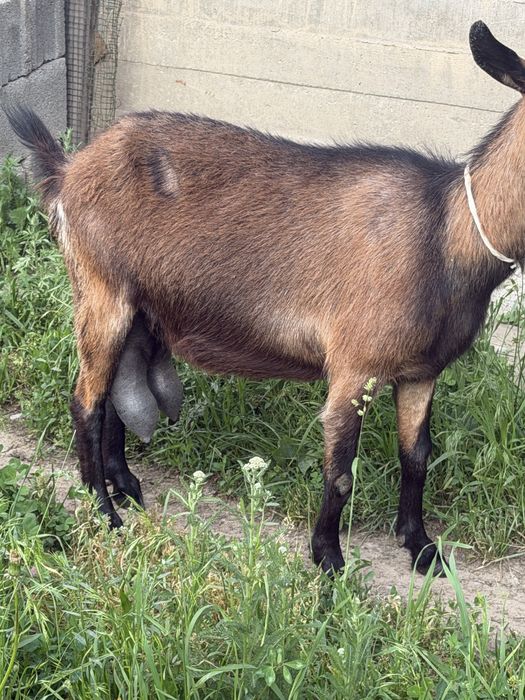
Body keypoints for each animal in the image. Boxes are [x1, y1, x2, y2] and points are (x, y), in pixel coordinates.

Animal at [5, 21, 524, 576]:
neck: (445, 235)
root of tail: (68, 170)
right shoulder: (354, 366)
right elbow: (342, 473)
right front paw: (329, 560)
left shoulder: (422, 371)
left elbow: (417, 457)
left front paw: (422, 548)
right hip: (101, 290)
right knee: (87, 401)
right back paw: (105, 512)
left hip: (138, 308)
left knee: (118, 394)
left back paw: (125, 487)